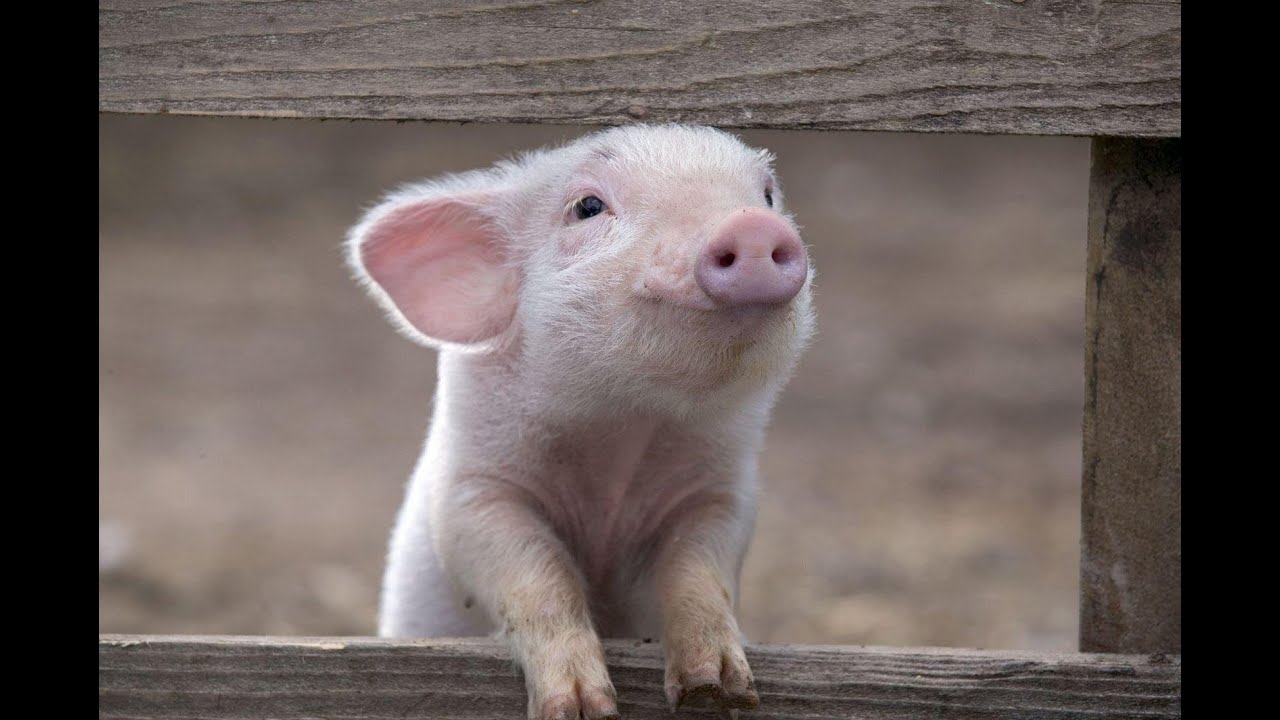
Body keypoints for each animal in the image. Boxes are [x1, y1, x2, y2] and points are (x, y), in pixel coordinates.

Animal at [346, 124, 815, 720]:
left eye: (768, 195)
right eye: (587, 207)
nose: (753, 224)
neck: (623, 434)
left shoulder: (722, 496)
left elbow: (700, 573)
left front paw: (719, 690)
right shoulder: (472, 494)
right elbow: (537, 577)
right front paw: (580, 707)